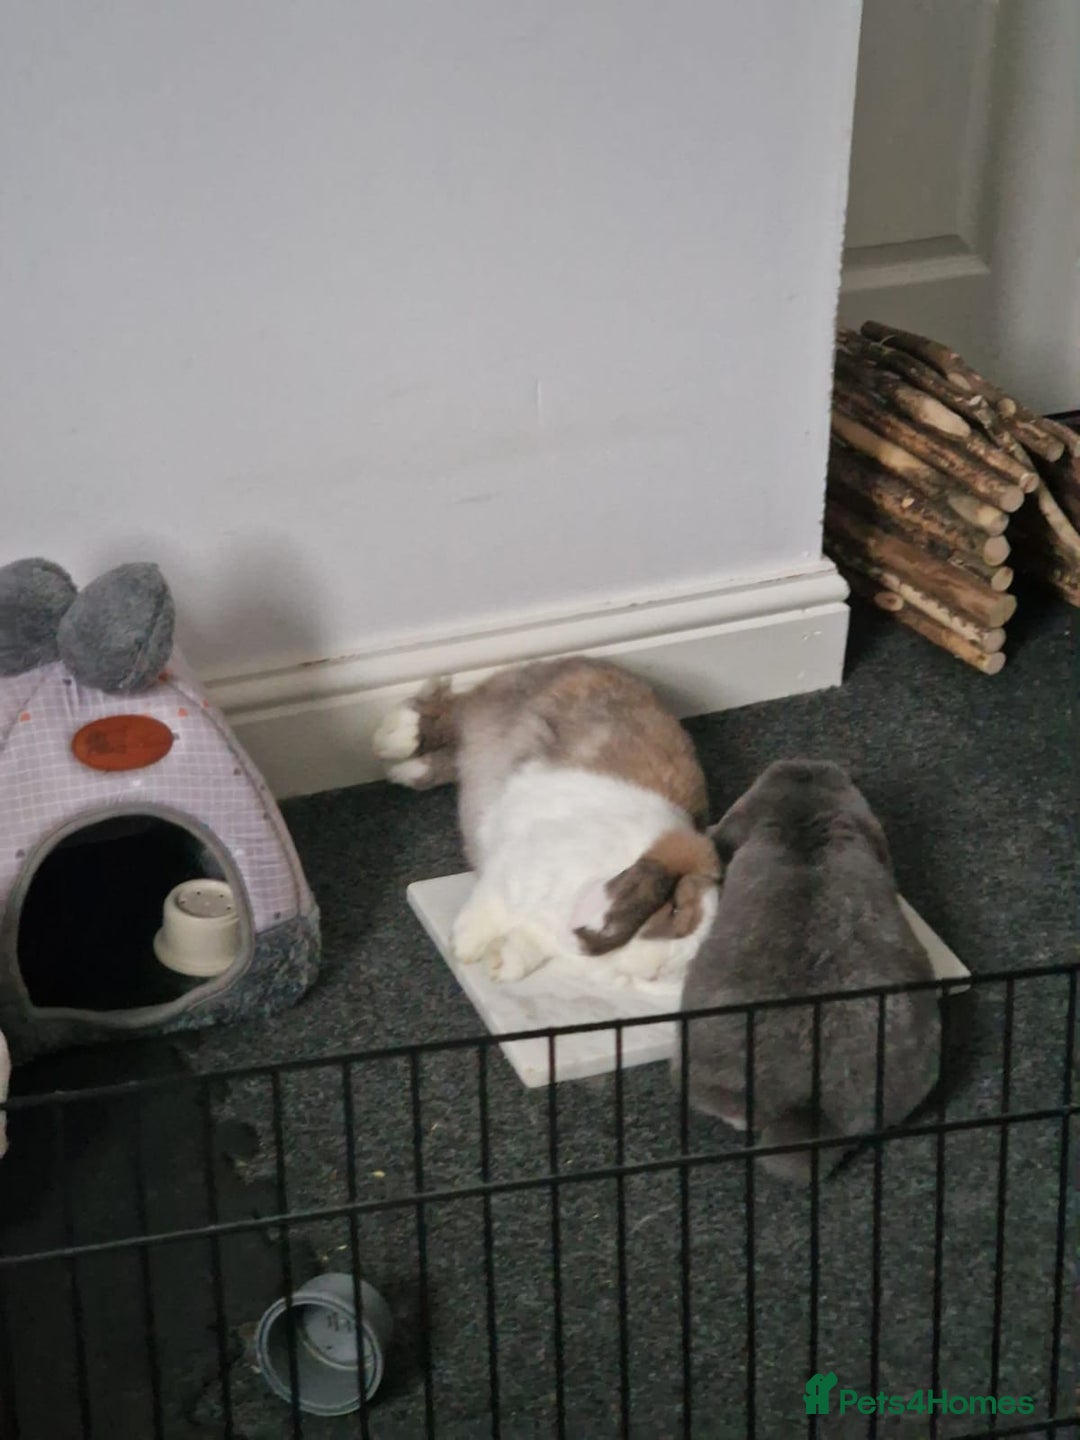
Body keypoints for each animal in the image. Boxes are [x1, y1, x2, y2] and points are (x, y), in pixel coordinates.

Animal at [373, 657, 720, 985]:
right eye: (674, 908)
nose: (660, 971)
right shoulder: (513, 864)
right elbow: (493, 904)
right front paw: (466, 945)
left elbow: (527, 943)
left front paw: (500, 964)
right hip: (494, 712)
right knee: (452, 709)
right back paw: (394, 736)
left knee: (451, 751)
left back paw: (405, 770)